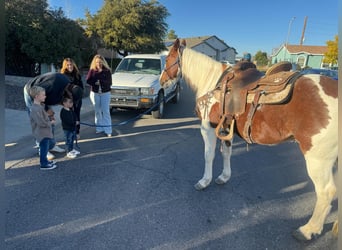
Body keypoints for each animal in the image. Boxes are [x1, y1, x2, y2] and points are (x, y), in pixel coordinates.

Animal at [160, 38, 336, 240]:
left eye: (168, 59)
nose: (162, 81)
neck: (213, 82)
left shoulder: (208, 129)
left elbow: (209, 156)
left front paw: (204, 181)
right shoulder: (225, 128)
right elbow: (226, 153)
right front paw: (224, 177)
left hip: (318, 159)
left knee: (326, 192)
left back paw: (307, 230)